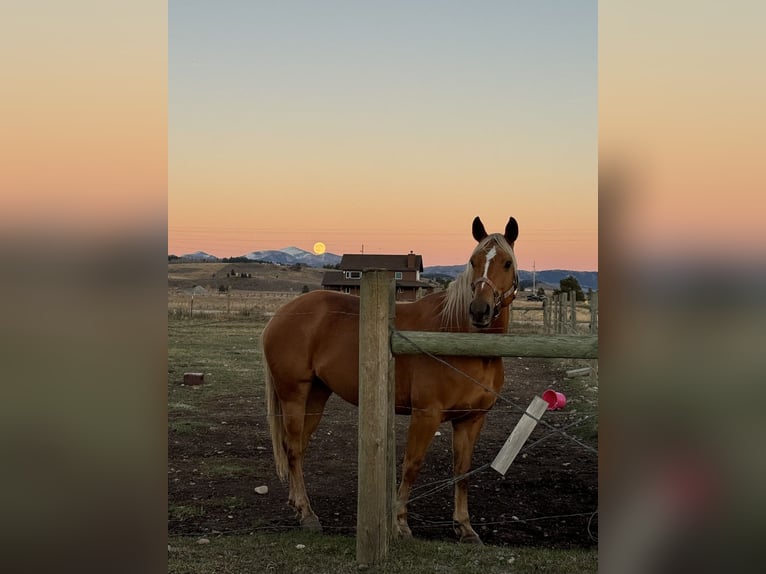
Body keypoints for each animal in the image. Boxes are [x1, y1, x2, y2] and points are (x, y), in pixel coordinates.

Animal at [262, 215, 519, 544]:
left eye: (507, 263)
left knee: (299, 447)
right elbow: (412, 465)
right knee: (293, 447)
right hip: (293, 394)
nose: (479, 311)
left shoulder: (471, 419)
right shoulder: (426, 415)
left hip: (317, 395)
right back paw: (308, 515)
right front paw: (399, 524)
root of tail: (280, 315)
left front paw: (465, 528)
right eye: (473, 261)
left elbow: (462, 471)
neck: (462, 341)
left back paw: (298, 505)